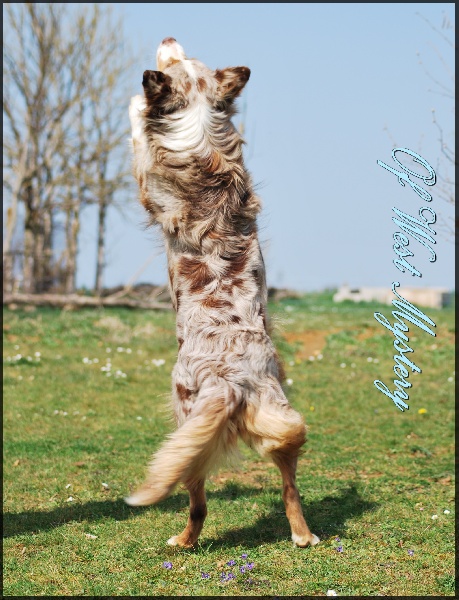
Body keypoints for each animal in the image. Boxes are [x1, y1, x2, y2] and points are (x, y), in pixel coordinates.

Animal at [126, 37, 320, 552]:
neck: (198, 121)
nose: (168, 39)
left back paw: (183, 541)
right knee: (290, 488)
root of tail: (229, 380)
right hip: (282, 421)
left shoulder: (145, 175)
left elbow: (137, 131)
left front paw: (136, 104)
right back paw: (303, 535)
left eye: (175, 60)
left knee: (197, 503)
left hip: (186, 423)